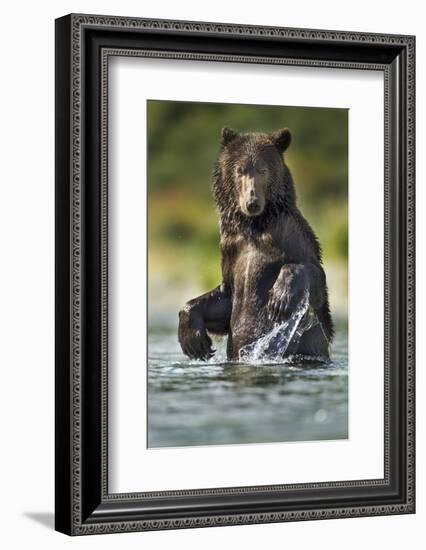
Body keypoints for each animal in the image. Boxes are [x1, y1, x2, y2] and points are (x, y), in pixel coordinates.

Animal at [178, 127, 334, 364]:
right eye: (239, 170)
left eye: (263, 169)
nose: (252, 202)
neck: (254, 226)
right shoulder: (231, 248)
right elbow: (225, 299)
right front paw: (195, 341)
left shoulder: (290, 234)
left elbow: (314, 277)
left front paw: (279, 299)